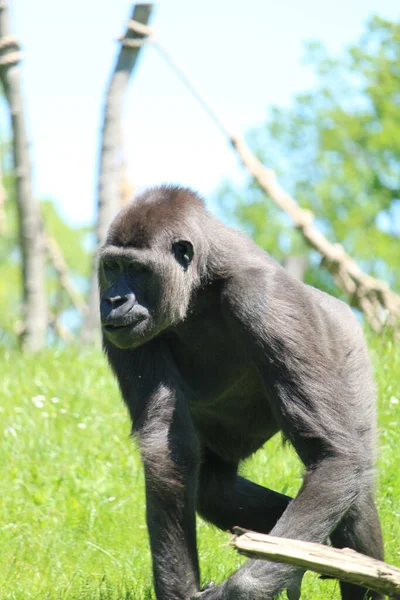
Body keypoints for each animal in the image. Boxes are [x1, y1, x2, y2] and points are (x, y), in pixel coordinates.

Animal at [98, 185, 382, 596]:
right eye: (111, 267)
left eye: (136, 269)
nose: (113, 300)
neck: (200, 280)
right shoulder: (120, 329)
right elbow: (166, 451)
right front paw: (181, 590)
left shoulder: (263, 298)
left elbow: (333, 454)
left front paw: (241, 590)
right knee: (215, 488)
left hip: (346, 338)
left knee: (352, 485)